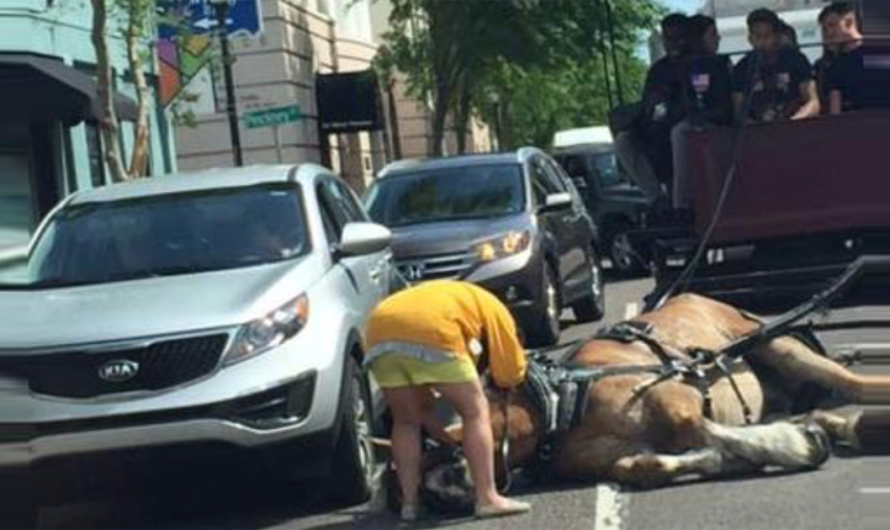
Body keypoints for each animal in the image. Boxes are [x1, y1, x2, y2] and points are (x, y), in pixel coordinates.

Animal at [420, 254, 888, 502]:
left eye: (436, 443)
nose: (434, 489)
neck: (561, 403)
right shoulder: (617, 454)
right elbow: (644, 466)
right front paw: (723, 459)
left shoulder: (678, 403)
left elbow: (703, 428)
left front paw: (793, 444)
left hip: (774, 346)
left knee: (854, 385)